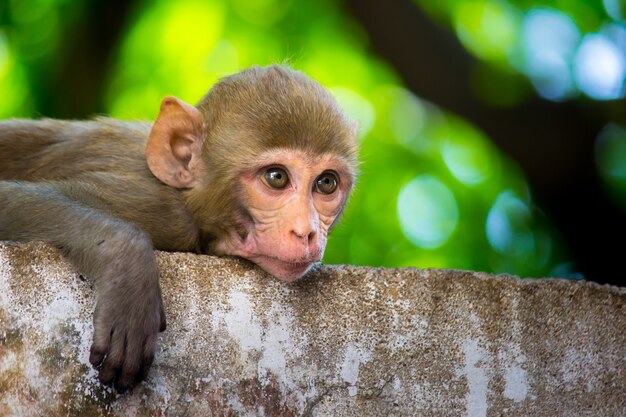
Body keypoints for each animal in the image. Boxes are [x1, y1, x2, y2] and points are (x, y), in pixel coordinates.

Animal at [0, 64, 356, 390]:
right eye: (276, 177)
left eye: (326, 183)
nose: (306, 232)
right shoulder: (163, 213)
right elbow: (10, 197)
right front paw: (128, 276)